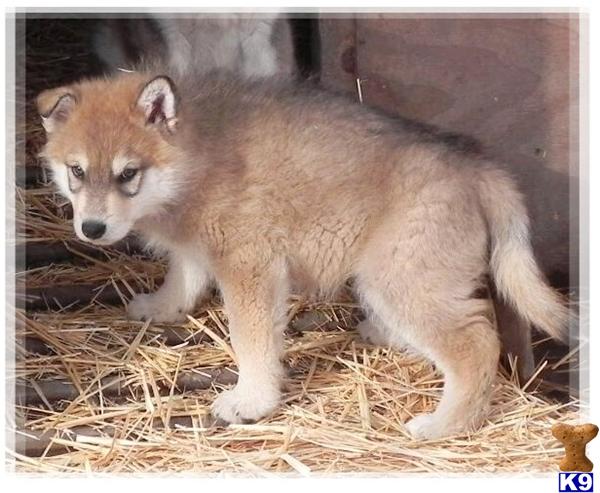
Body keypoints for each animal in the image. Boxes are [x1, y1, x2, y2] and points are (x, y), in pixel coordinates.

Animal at [38, 70, 572, 438]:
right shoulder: (198, 251)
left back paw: (446, 425)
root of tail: (479, 167)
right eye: (76, 171)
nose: (91, 229)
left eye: (128, 174)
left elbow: (251, 341)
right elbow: (183, 278)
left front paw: (251, 400)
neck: (193, 157)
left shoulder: (250, 268)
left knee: (476, 345)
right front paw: (160, 307)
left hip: (404, 279)